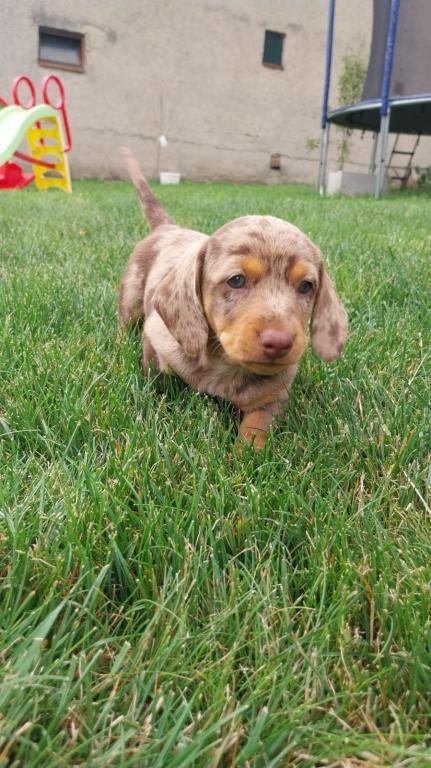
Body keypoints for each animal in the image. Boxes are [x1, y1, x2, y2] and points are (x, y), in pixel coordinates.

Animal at [118, 150, 348, 449]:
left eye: (306, 286)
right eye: (236, 280)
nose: (280, 342)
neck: (224, 363)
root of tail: (168, 227)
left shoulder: (273, 397)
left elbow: (257, 426)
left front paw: (246, 453)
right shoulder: (156, 336)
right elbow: (155, 378)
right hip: (132, 294)